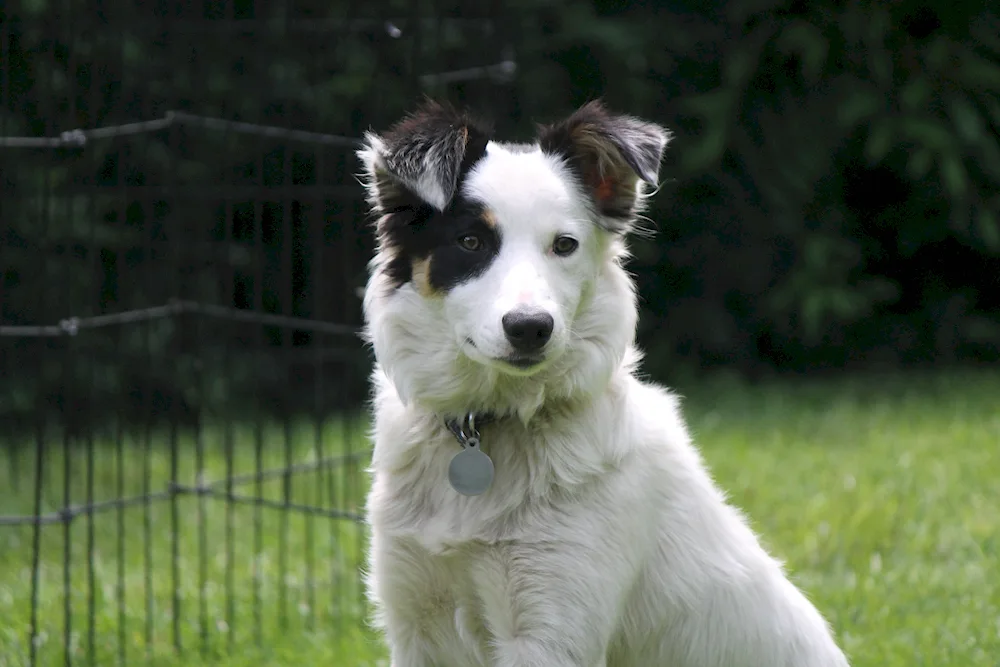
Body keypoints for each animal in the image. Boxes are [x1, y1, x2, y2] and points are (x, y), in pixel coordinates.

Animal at [356, 99, 848, 667]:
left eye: (564, 245)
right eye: (470, 241)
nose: (530, 327)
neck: (491, 424)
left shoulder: (551, 630)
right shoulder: (417, 622)